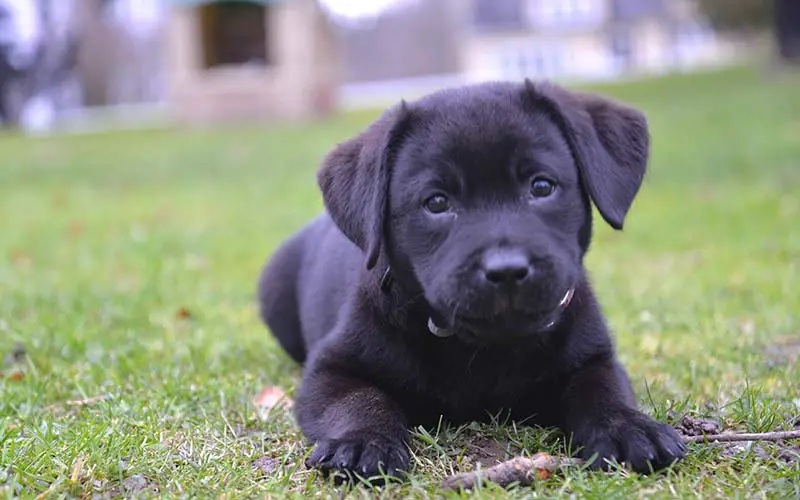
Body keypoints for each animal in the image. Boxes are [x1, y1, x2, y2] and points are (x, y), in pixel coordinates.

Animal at [258, 79, 688, 480]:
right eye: (436, 202)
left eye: (542, 186)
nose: (507, 269)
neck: (482, 348)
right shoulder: (329, 369)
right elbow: (359, 400)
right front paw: (361, 442)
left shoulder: (596, 356)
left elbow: (602, 390)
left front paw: (629, 428)